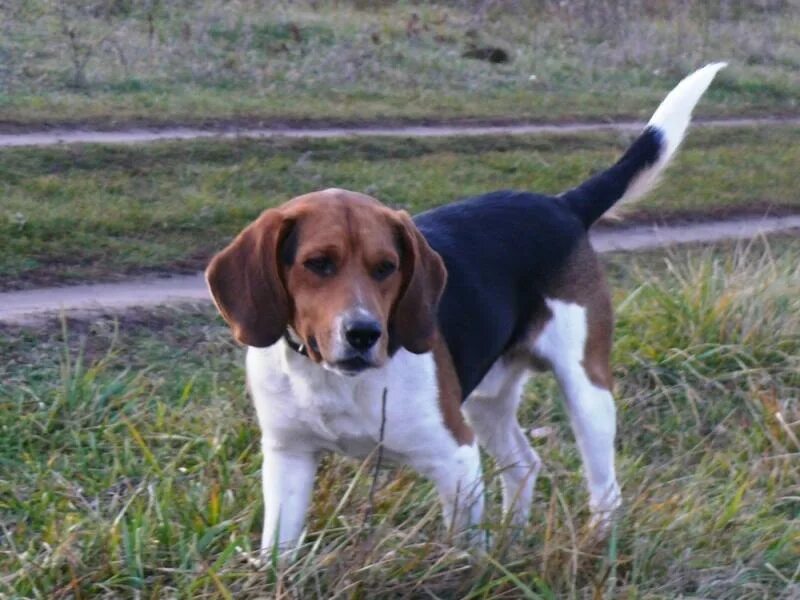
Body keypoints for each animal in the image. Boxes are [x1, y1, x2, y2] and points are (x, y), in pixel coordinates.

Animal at [205, 63, 724, 556]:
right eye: (318, 264)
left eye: (386, 267)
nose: (364, 333)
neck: (333, 381)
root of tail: (560, 205)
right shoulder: (288, 458)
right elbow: (280, 555)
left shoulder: (455, 458)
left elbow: (462, 553)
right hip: (486, 401)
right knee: (524, 463)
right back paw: (512, 543)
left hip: (586, 390)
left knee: (605, 490)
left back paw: (596, 546)